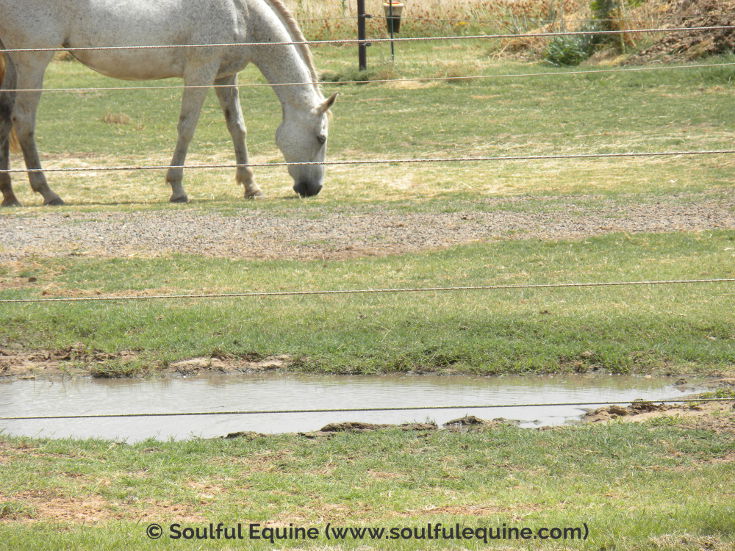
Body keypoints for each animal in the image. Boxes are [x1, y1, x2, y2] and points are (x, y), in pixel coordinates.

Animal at [0, 0, 337, 207]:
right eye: (321, 137)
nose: (313, 189)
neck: (241, 11)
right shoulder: (201, 72)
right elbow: (187, 127)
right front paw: (177, 188)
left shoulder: (224, 76)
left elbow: (237, 128)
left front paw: (250, 186)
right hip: (33, 63)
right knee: (24, 122)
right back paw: (47, 192)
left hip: (14, 65)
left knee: (4, 118)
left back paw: (10, 194)